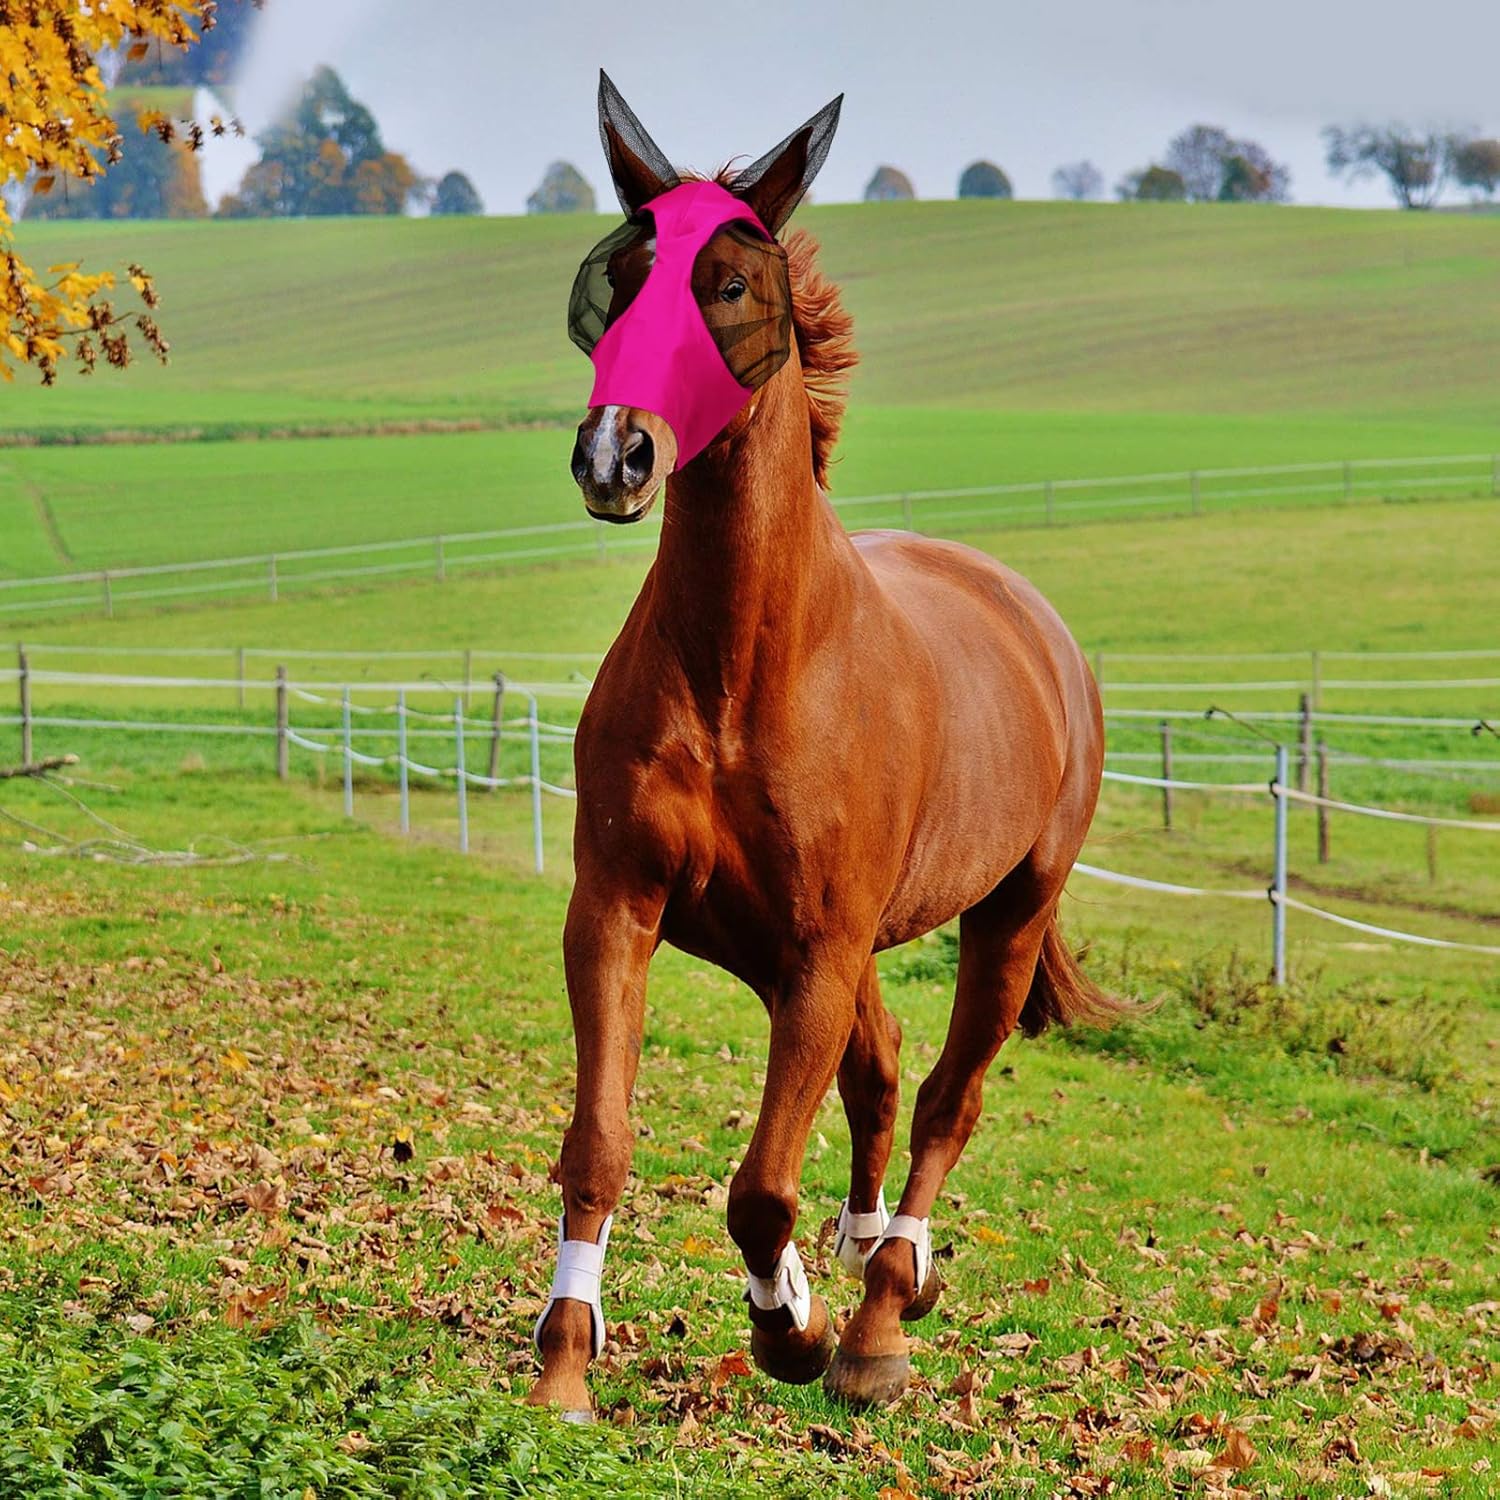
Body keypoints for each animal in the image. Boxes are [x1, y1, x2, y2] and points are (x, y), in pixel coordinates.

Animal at [527, 72, 1124, 1420]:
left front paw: (791, 1329)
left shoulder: (820, 949)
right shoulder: (623, 909)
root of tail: (1040, 626)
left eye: (730, 286)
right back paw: (862, 1261)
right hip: (791, 948)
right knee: (885, 1070)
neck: (744, 668)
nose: (615, 453)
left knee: (948, 1097)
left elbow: (759, 1187)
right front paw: (565, 1369)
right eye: (619, 276)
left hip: (1001, 918)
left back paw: (882, 1315)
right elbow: (602, 1142)